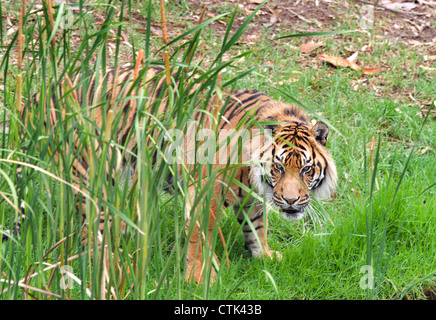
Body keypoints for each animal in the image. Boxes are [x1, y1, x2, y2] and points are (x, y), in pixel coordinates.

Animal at [8, 64, 338, 282]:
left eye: (306, 169)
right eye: (278, 167)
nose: (292, 202)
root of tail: (44, 92)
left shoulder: (251, 194)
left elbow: (257, 226)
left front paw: (265, 256)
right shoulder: (206, 188)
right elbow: (200, 234)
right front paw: (199, 277)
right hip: (91, 172)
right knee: (91, 230)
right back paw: (111, 264)